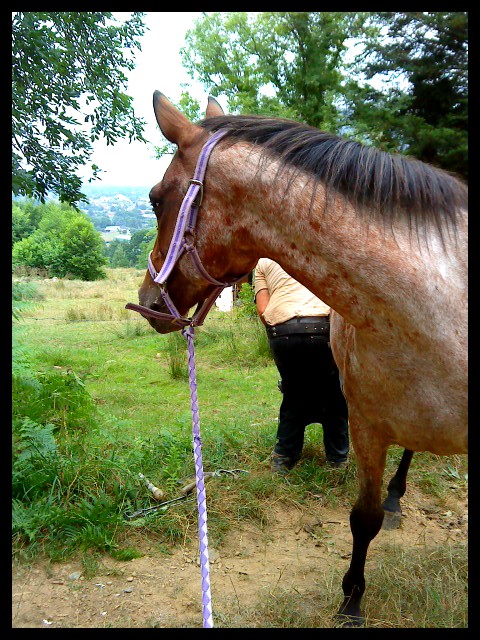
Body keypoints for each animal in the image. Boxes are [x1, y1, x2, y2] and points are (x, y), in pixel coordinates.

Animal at [132, 90, 468, 624]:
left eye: (155, 198)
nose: (147, 299)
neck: (437, 308)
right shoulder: (367, 426)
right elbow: (364, 518)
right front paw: (351, 602)